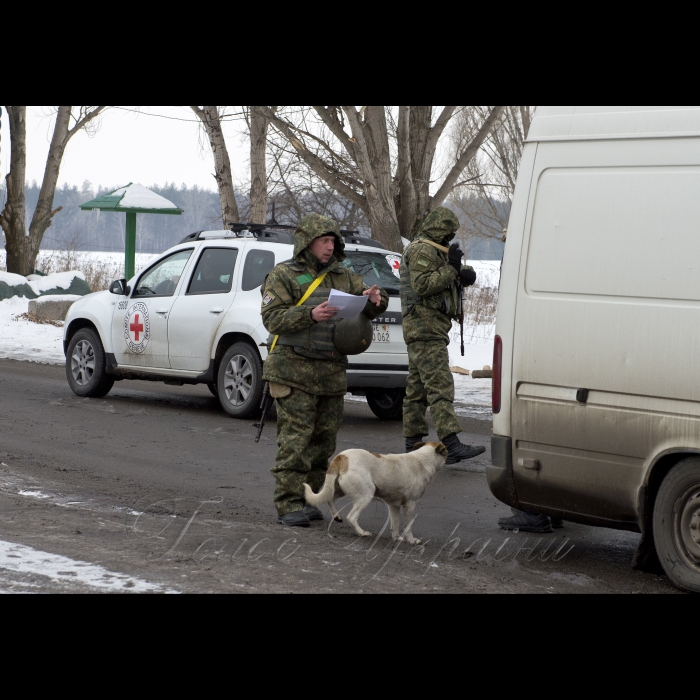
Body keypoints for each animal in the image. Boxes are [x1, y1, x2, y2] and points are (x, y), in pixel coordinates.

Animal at [302, 440, 448, 544]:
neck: (422, 460)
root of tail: (342, 457)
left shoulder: (393, 506)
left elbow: (395, 523)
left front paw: (397, 538)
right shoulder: (410, 505)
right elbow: (408, 525)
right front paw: (411, 540)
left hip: (338, 489)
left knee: (329, 498)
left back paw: (337, 516)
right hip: (366, 495)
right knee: (352, 517)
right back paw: (362, 533)